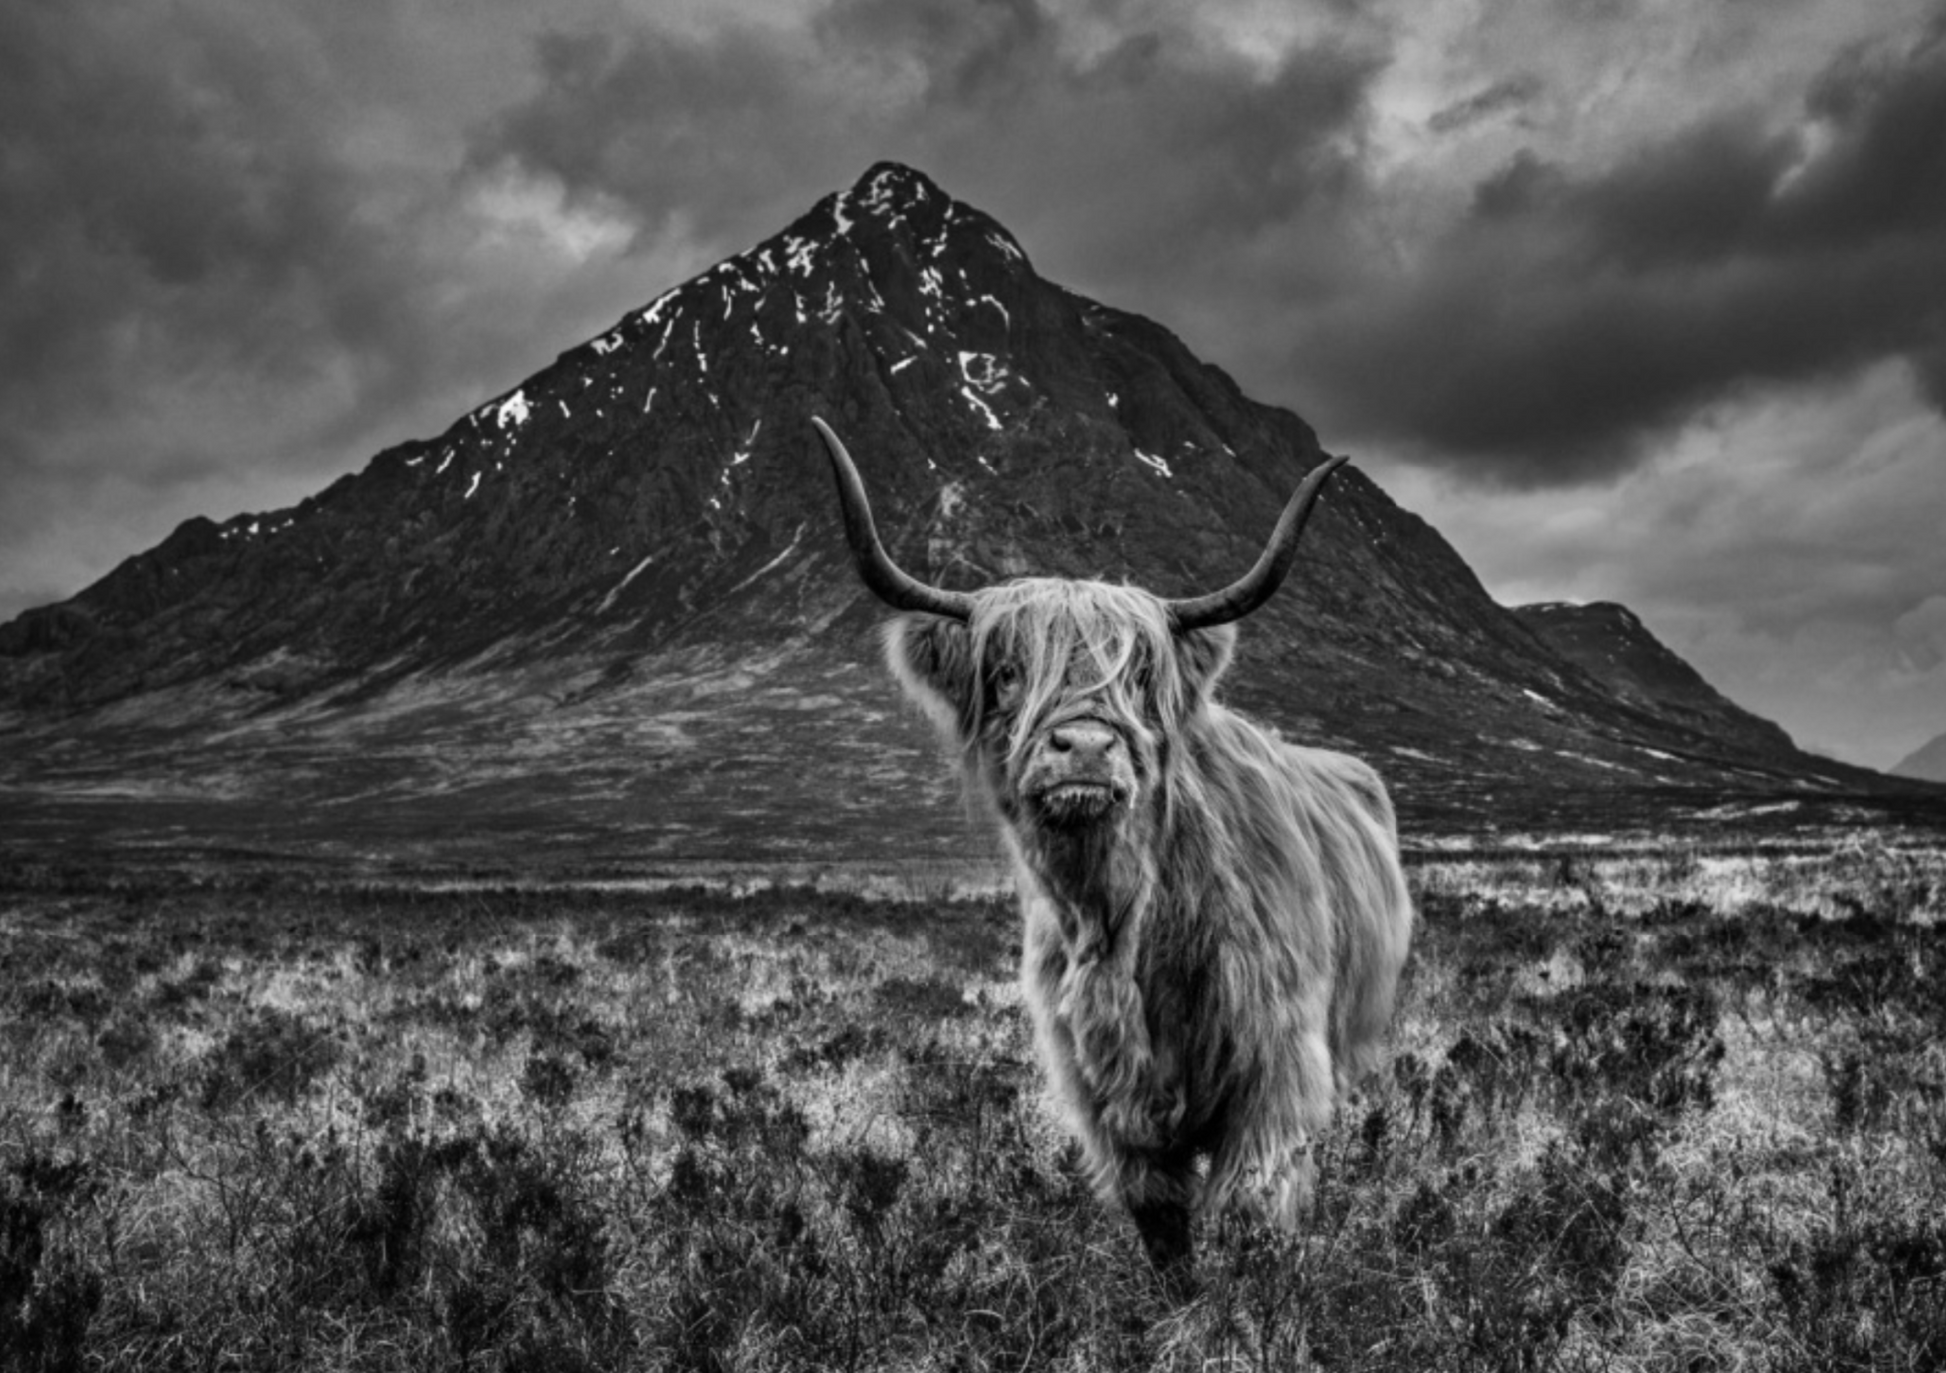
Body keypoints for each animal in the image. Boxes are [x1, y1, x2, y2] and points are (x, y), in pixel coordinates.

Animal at [805, 416, 1416, 1275]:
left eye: (1139, 676)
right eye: (1007, 671)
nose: (1087, 748)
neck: (1119, 919)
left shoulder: (1277, 1072)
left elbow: (1254, 1212)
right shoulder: (1106, 1098)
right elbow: (1163, 1228)